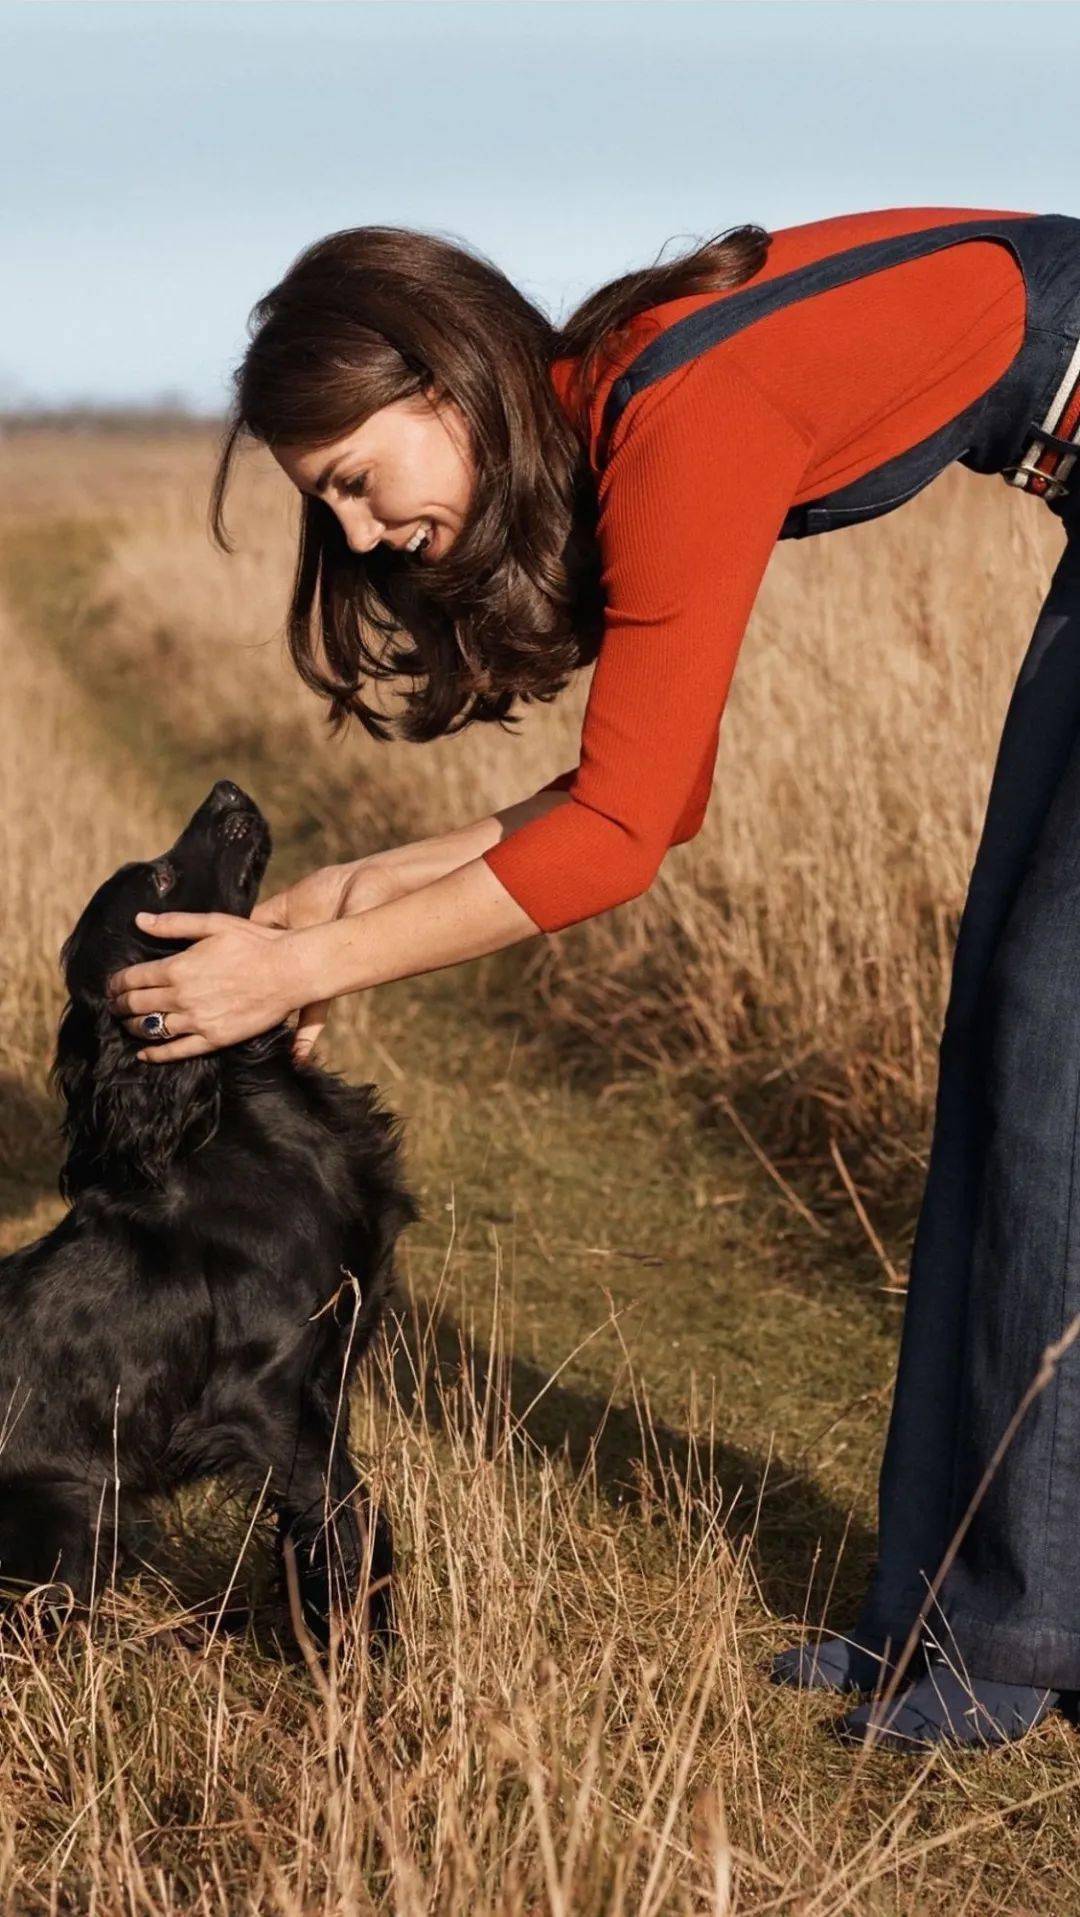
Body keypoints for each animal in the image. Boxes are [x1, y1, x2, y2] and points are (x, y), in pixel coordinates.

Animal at [0, 778, 420, 1648]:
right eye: (160, 879)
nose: (227, 789)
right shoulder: (264, 1398)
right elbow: (348, 1518)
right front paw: (361, 1652)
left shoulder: (324, 1384)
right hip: (70, 1513)